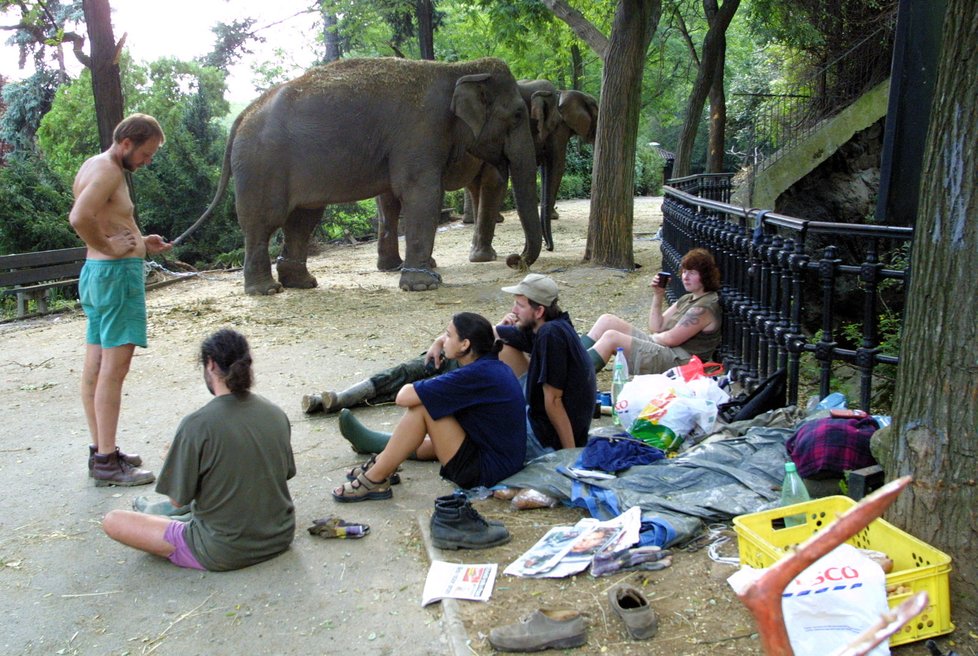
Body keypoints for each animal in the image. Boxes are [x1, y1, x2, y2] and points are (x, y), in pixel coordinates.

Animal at [179, 57, 536, 294]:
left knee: (303, 218)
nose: (515, 260)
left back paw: (303, 284)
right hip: (260, 164)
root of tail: (242, 116)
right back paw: (266, 291)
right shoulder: (420, 132)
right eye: (519, 115)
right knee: (265, 220)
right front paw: (423, 286)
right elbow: (421, 193)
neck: (457, 69)